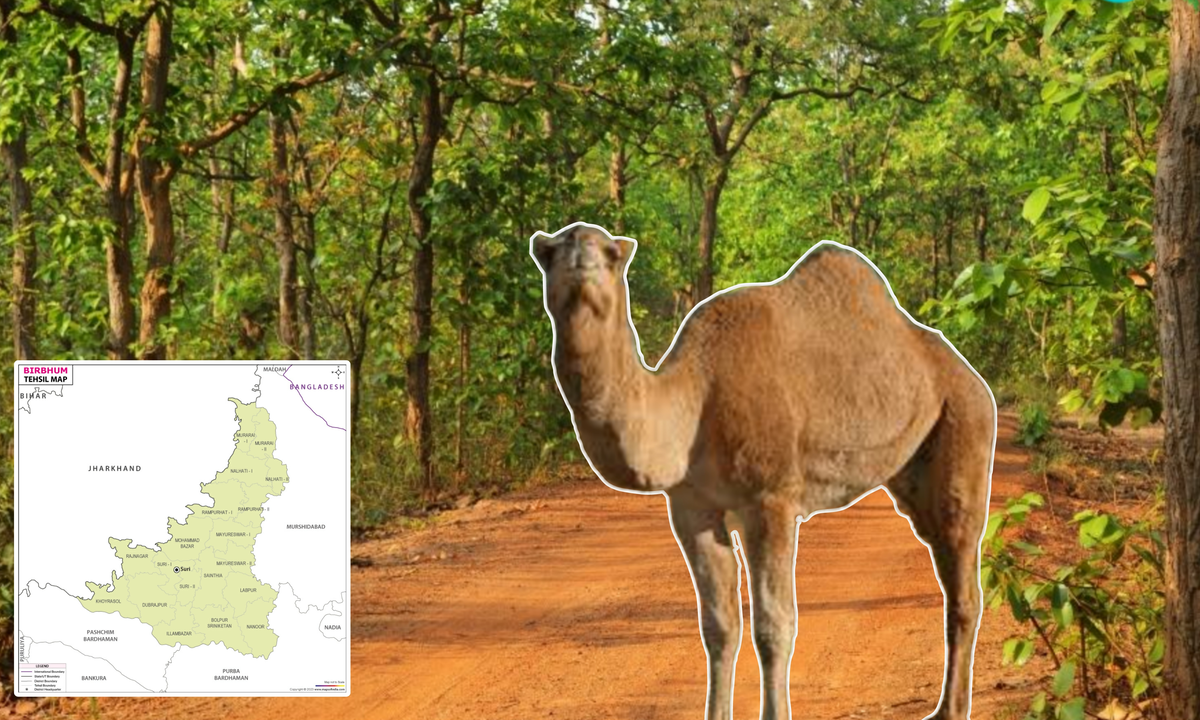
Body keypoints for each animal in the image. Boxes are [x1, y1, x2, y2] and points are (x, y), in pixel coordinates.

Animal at [531, 223, 996, 720]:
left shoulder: (771, 499)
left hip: (965, 420)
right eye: (552, 250)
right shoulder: (691, 507)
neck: (695, 397)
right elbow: (719, 626)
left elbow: (774, 626)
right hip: (912, 466)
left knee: (962, 573)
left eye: (611, 252)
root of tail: (971, 376)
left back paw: (950, 710)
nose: (582, 259)